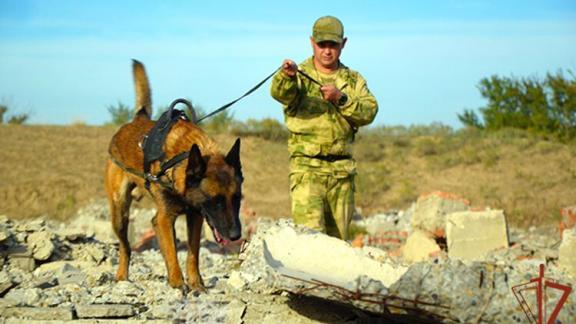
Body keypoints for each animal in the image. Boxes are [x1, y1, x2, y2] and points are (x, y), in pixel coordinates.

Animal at [104, 59, 242, 292]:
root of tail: (137, 119)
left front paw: (196, 283)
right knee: (125, 247)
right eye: (215, 202)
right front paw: (178, 283)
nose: (235, 236)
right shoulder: (163, 219)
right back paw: (122, 275)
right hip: (120, 214)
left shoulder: (195, 217)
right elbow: (171, 252)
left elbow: (192, 254)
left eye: (237, 199)